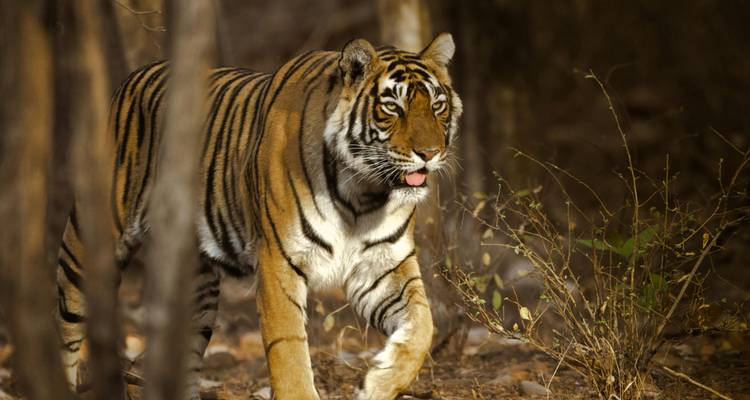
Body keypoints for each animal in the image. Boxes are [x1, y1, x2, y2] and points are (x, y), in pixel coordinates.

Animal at [55, 33, 462, 400]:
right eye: (393, 107)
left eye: (438, 105)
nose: (430, 153)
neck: (363, 193)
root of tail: (132, 76)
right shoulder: (279, 261)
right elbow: (289, 348)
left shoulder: (383, 266)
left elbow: (423, 325)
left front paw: (378, 382)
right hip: (89, 247)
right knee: (65, 328)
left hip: (197, 288)